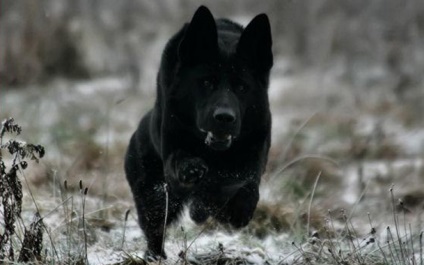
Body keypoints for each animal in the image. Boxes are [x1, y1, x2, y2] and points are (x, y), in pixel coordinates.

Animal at [124, 5, 274, 258]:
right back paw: (156, 256)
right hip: (154, 195)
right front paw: (195, 173)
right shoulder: (173, 155)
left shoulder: (254, 152)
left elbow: (245, 184)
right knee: (155, 228)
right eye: (206, 83)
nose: (224, 117)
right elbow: (184, 163)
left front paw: (236, 207)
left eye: (242, 87)